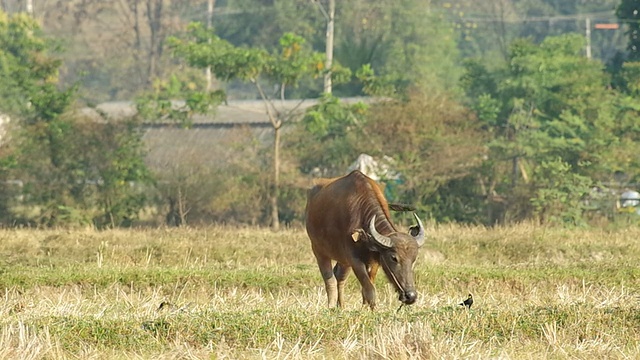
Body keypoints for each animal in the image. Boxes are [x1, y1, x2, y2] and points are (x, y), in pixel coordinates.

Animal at [304, 169, 424, 310]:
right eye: (394, 258)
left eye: (414, 259)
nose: (411, 296)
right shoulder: (355, 260)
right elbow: (369, 289)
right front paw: (372, 310)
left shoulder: (374, 260)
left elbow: (367, 286)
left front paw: (366, 307)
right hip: (319, 251)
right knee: (330, 280)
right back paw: (331, 306)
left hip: (343, 260)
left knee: (340, 277)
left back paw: (341, 306)